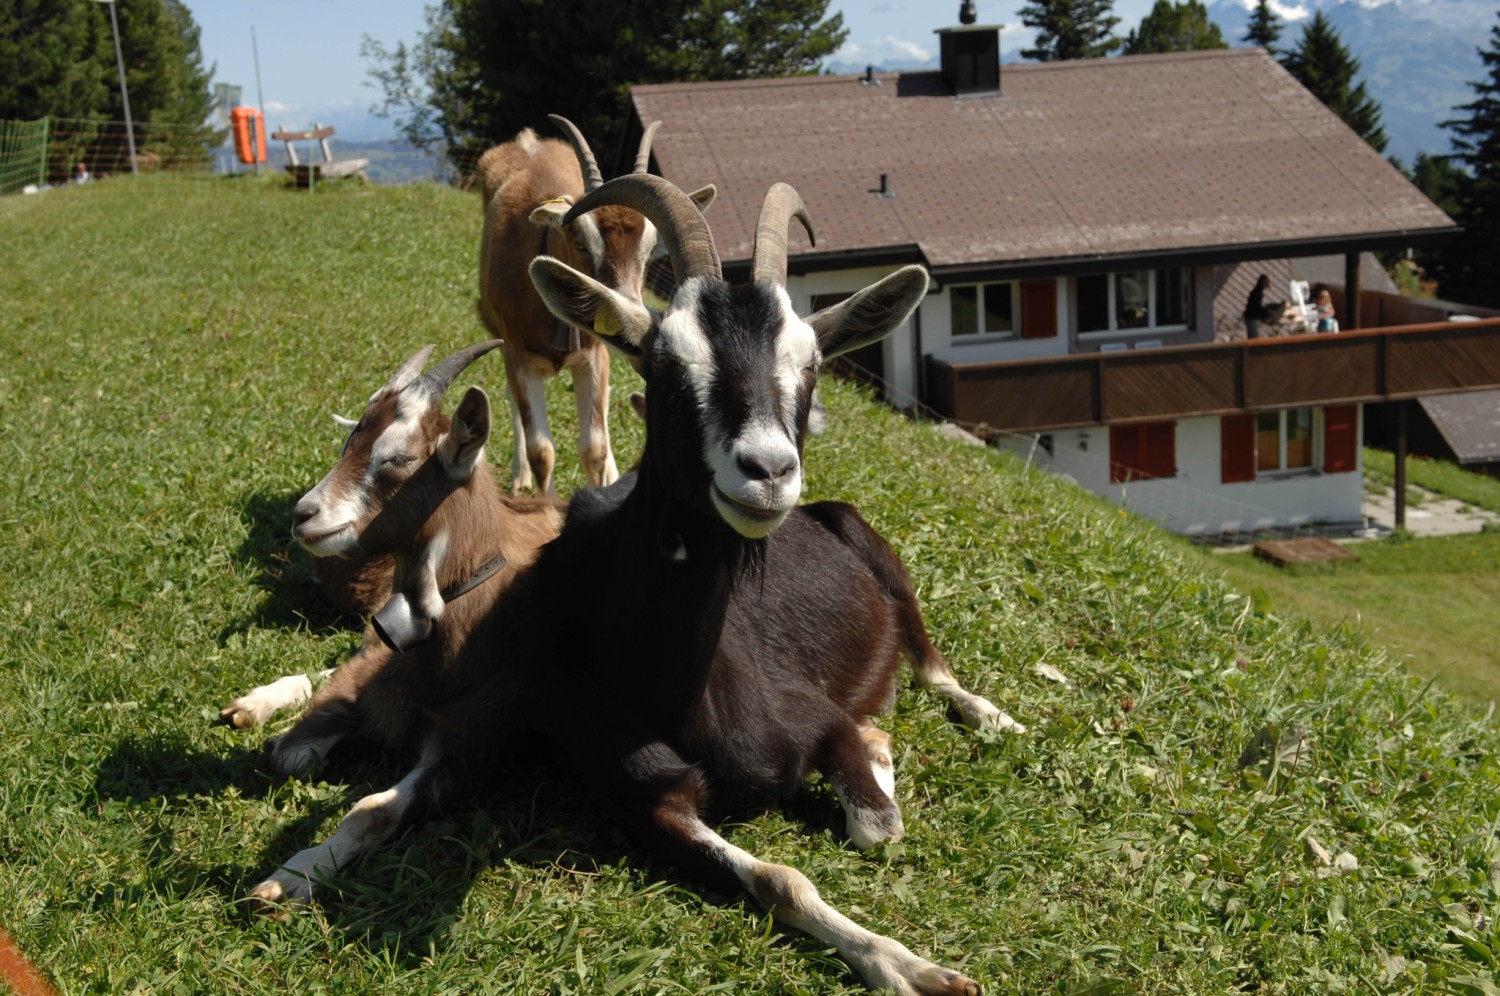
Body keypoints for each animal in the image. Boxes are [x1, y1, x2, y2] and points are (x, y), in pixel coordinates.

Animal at [477, 114, 717, 495]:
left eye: (649, 250)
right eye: (579, 241)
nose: (629, 320)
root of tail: (528, 140)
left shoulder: (593, 355)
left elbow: (595, 448)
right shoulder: (517, 354)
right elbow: (541, 450)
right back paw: (519, 478)